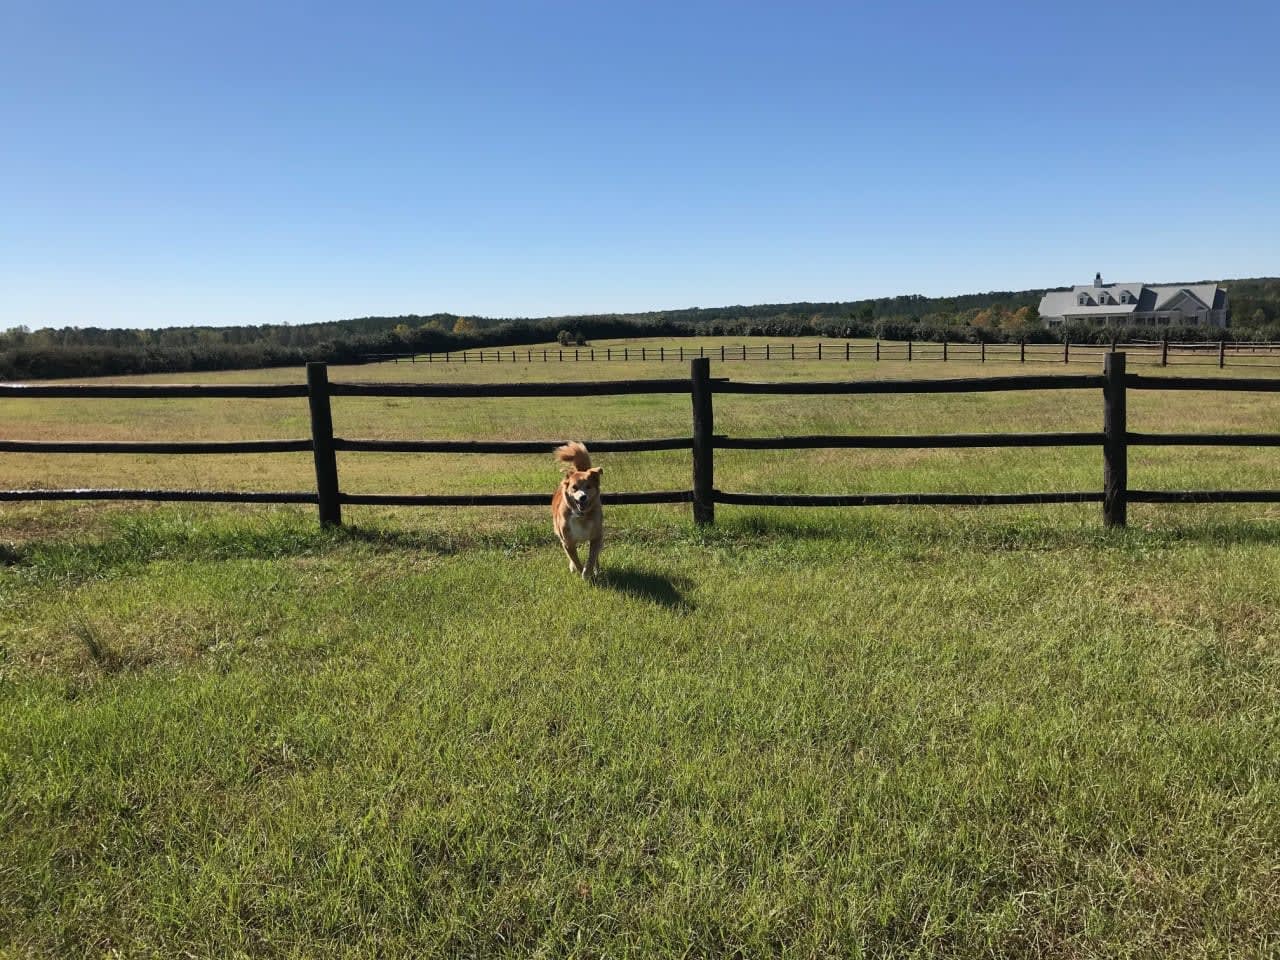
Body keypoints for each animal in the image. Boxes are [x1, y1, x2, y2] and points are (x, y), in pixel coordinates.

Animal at [550, 442, 604, 578]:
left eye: (588, 486)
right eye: (574, 487)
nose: (582, 497)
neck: (581, 516)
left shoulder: (596, 536)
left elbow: (591, 558)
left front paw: (587, 573)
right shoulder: (567, 541)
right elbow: (575, 560)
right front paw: (580, 571)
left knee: (596, 557)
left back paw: (597, 570)